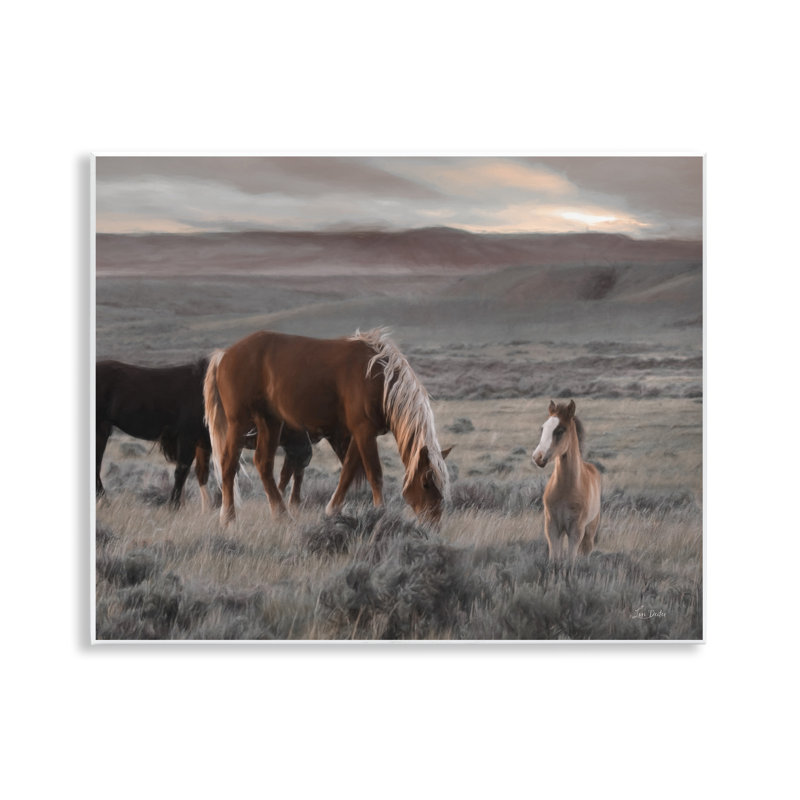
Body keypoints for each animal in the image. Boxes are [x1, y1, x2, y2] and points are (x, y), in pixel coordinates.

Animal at [96, 358, 313, 510]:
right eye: (286, 421)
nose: (307, 454)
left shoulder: (203, 442)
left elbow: (204, 474)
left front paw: (208, 507)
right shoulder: (188, 438)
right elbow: (182, 471)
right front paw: (174, 505)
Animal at [203, 328, 452, 527]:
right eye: (426, 483)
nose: (434, 523)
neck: (379, 379)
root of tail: (224, 355)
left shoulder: (359, 433)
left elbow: (348, 471)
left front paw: (333, 510)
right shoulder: (364, 431)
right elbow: (375, 473)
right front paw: (381, 512)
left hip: (270, 422)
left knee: (263, 464)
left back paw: (281, 515)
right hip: (239, 423)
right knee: (228, 464)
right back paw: (228, 517)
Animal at [531, 399, 601, 560]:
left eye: (560, 430)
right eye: (543, 428)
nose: (537, 457)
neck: (566, 489)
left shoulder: (576, 530)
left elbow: (571, 560)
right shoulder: (552, 526)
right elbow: (554, 558)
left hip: (590, 529)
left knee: (587, 550)